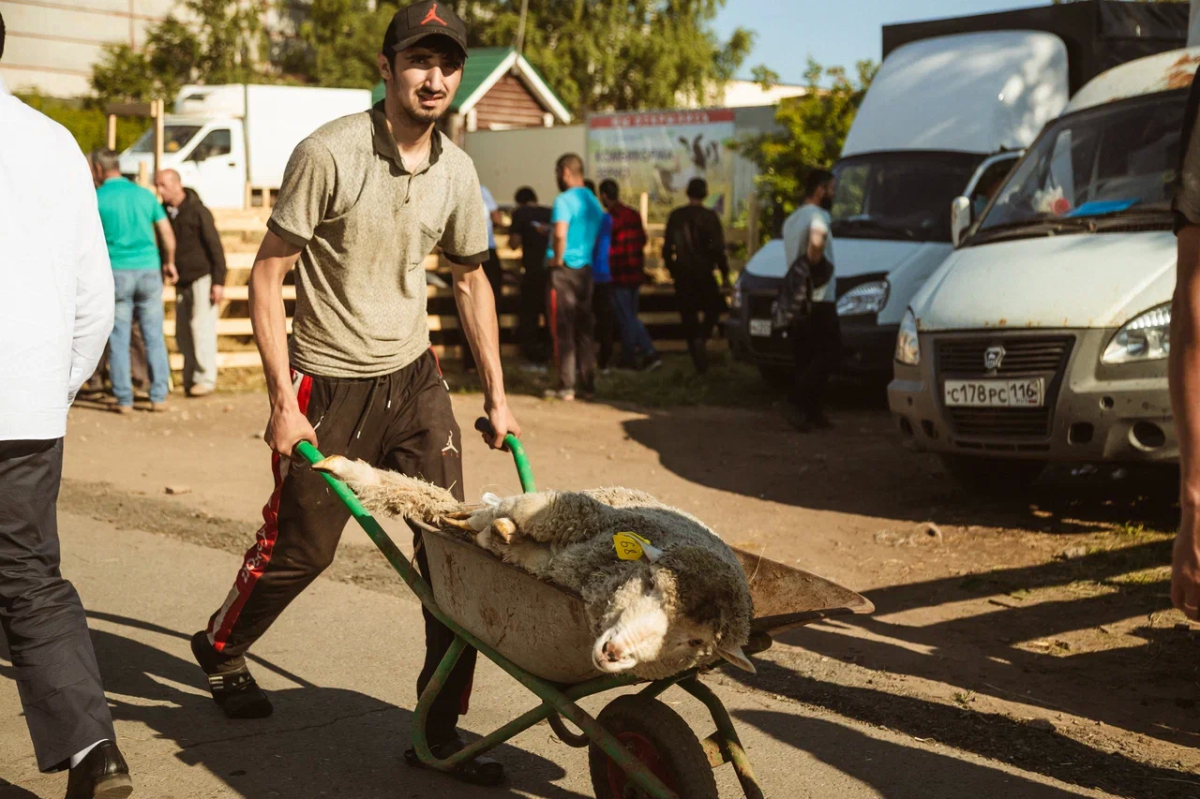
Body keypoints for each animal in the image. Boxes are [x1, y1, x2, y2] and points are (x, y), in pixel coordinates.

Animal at [314, 453, 753, 676]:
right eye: (650, 584)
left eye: (696, 643)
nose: (613, 652)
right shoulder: (571, 511)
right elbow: (501, 512)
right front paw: (478, 520)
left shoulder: (547, 560)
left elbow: (502, 537)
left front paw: (493, 532)